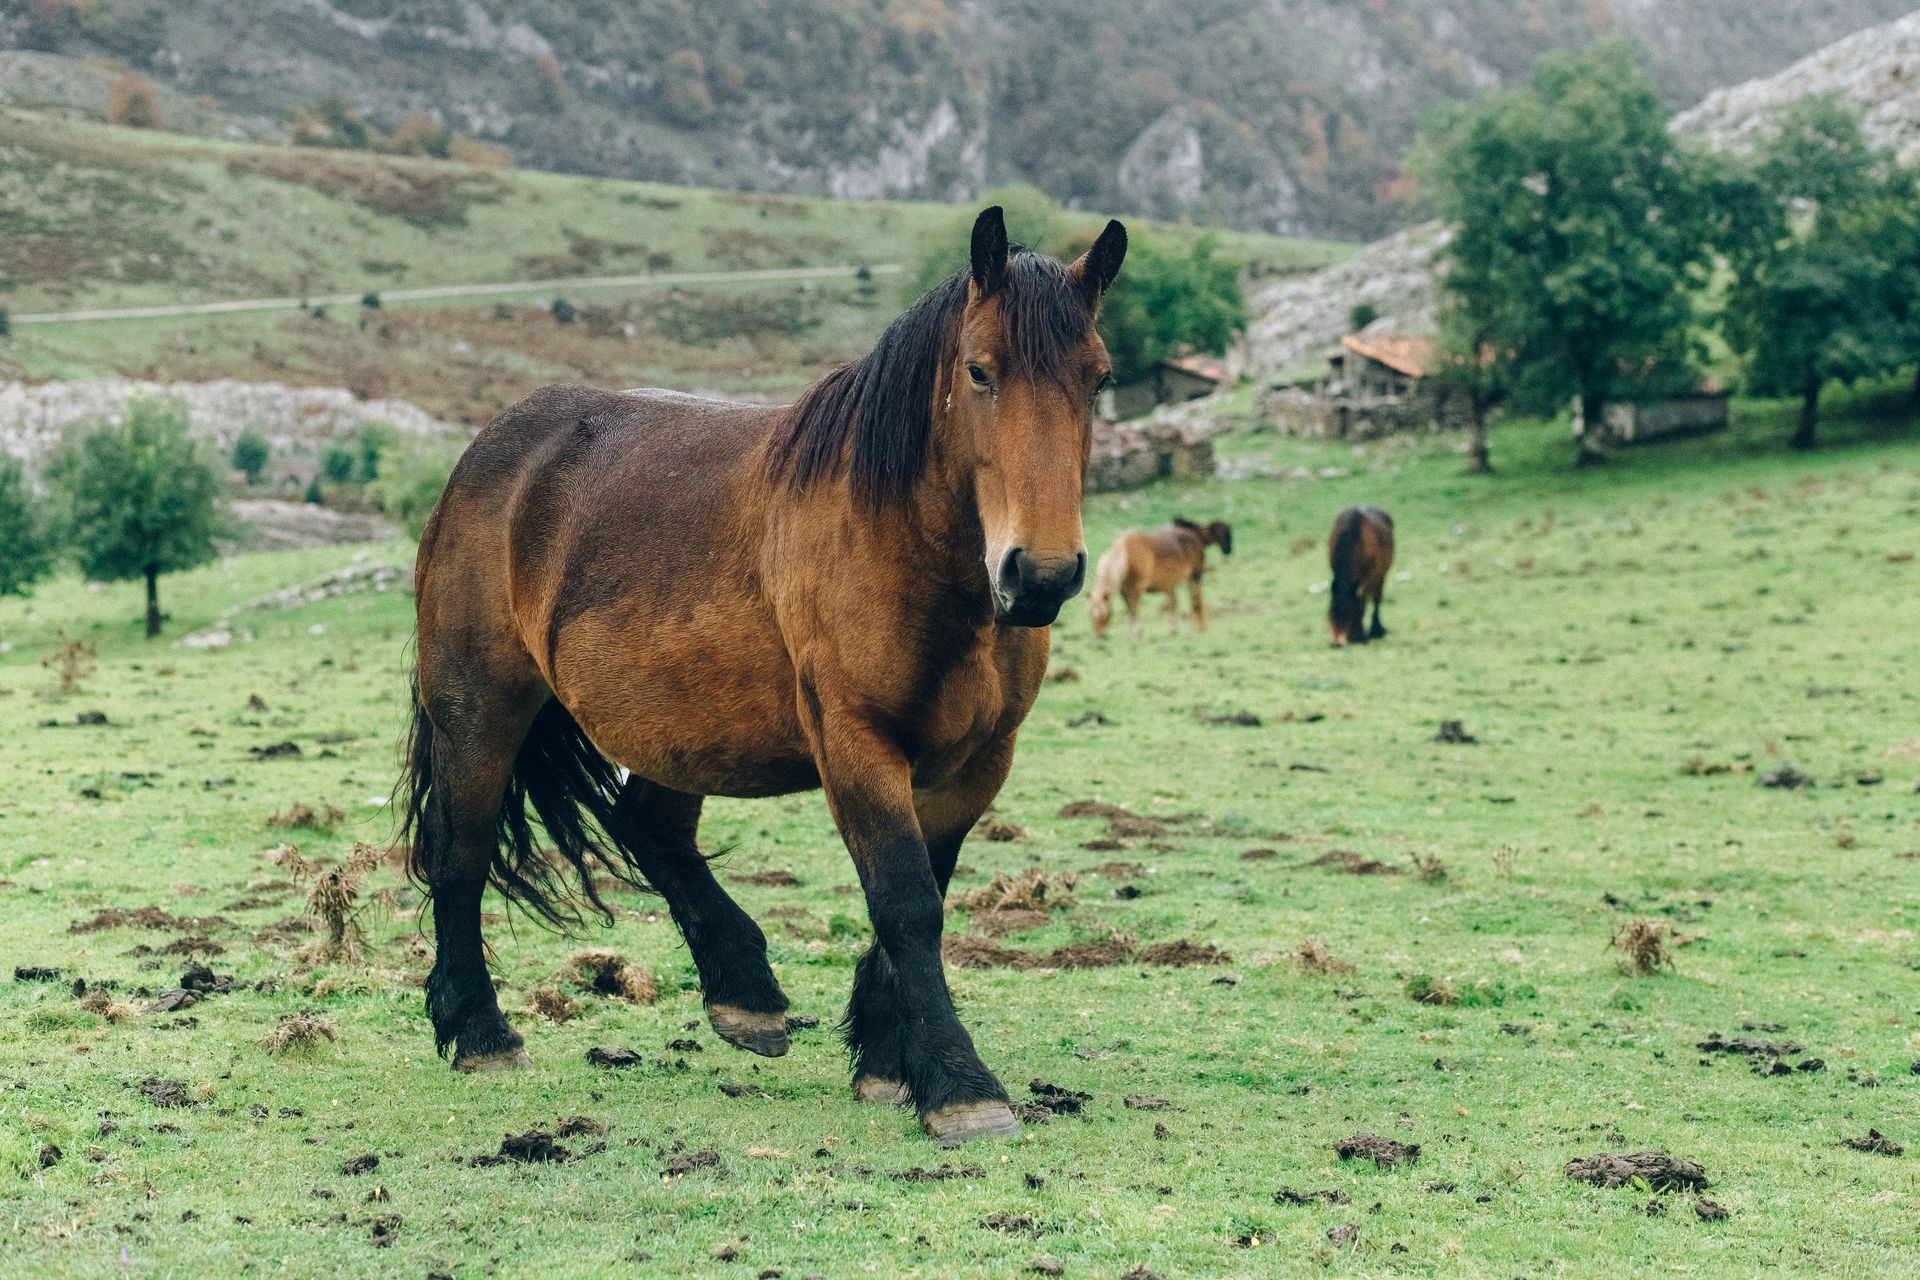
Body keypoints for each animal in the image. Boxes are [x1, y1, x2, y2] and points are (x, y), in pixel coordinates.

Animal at [396, 207, 1126, 1147]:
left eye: (1098, 379)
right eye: (980, 370)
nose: (1039, 575)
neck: (901, 546)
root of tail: (489, 452)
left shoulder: (976, 762)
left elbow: (925, 891)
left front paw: (889, 1061)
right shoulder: (856, 744)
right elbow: (906, 902)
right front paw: (960, 1087)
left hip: (681, 724)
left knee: (648, 826)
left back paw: (743, 993)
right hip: (481, 708)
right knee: (462, 853)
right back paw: (481, 1032)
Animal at [1087, 518, 1231, 640]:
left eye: (1104, 614)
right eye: (1091, 615)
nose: (1100, 637)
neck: (1125, 558)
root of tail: (1194, 537)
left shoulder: (1136, 590)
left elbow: (1134, 610)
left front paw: (1135, 635)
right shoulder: (1124, 592)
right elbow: (1130, 610)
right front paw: (1132, 634)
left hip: (1195, 577)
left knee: (1196, 600)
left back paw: (1198, 627)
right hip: (1173, 584)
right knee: (1174, 603)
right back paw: (1174, 630)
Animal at [1327, 505, 1394, 646]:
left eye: (1348, 613)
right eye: (1330, 612)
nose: (1336, 643)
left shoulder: (1368, 578)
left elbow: (1361, 604)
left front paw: (1359, 635)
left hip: (1381, 576)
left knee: (1376, 600)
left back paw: (1376, 629)